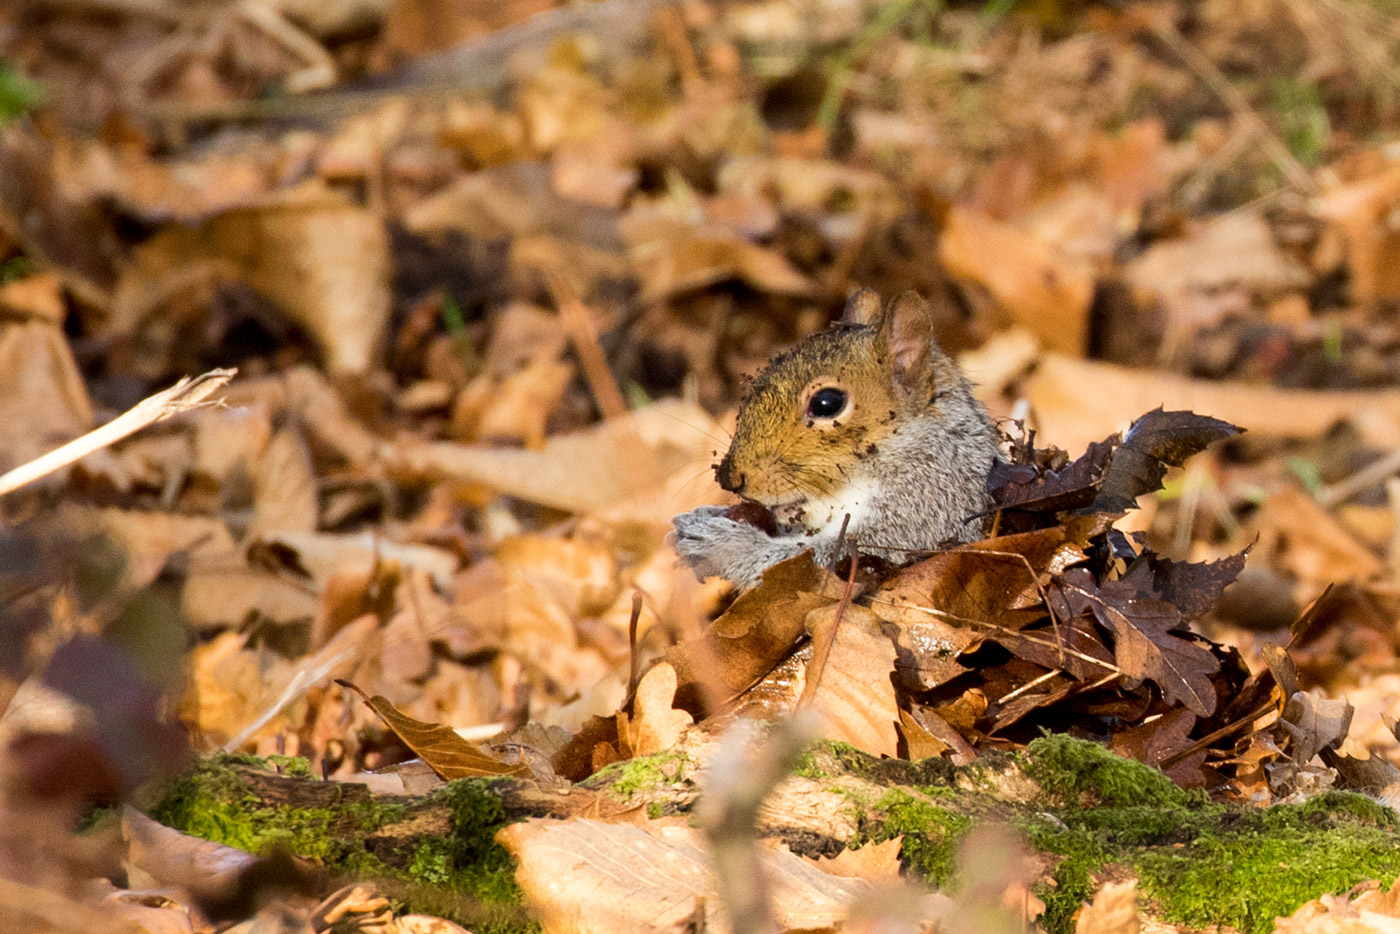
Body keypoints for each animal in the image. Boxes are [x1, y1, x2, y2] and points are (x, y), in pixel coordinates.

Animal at [672, 288, 1002, 588]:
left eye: (827, 403)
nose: (729, 478)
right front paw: (698, 518)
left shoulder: (926, 508)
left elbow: (821, 558)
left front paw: (725, 545)